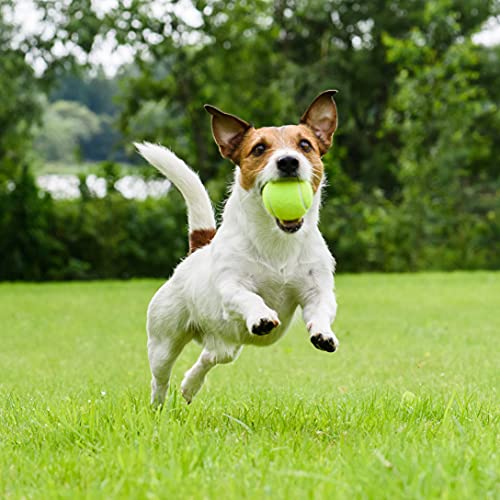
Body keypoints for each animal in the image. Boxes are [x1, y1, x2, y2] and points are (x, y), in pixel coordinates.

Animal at [136, 89, 340, 406]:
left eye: (305, 144)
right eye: (259, 148)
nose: (288, 161)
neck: (277, 241)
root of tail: (197, 250)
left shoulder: (317, 289)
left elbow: (320, 309)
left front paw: (323, 334)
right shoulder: (231, 287)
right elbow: (248, 297)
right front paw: (262, 316)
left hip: (227, 346)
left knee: (209, 357)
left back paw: (190, 385)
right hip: (163, 340)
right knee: (160, 379)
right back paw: (158, 406)